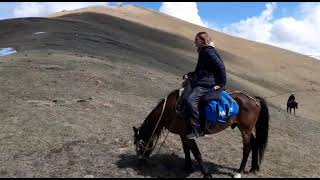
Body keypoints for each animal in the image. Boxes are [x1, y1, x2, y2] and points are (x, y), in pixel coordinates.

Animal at [132, 78, 270, 178]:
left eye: (139, 144)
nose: (139, 161)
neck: (170, 110)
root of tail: (254, 100)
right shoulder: (183, 135)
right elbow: (187, 150)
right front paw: (188, 167)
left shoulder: (188, 135)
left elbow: (196, 153)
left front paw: (206, 174)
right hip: (246, 129)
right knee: (255, 143)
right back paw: (253, 169)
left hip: (245, 129)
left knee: (247, 147)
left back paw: (239, 172)